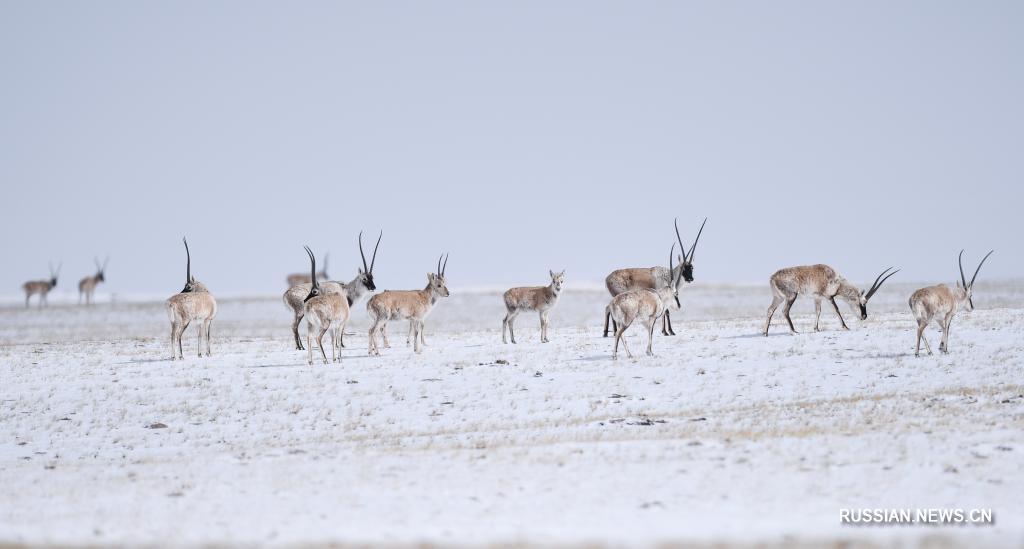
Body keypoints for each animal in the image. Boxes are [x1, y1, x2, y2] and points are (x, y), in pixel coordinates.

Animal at [765, 264, 901, 335]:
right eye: (862, 302)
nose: (864, 316)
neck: (837, 281)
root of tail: (772, 277)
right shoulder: (829, 297)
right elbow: (836, 310)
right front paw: (845, 327)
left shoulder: (817, 298)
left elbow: (818, 312)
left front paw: (816, 329)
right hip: (791, 296)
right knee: (785, 311)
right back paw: (794, 331)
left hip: (778, 298)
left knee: (770, 310)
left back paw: (765, 333)